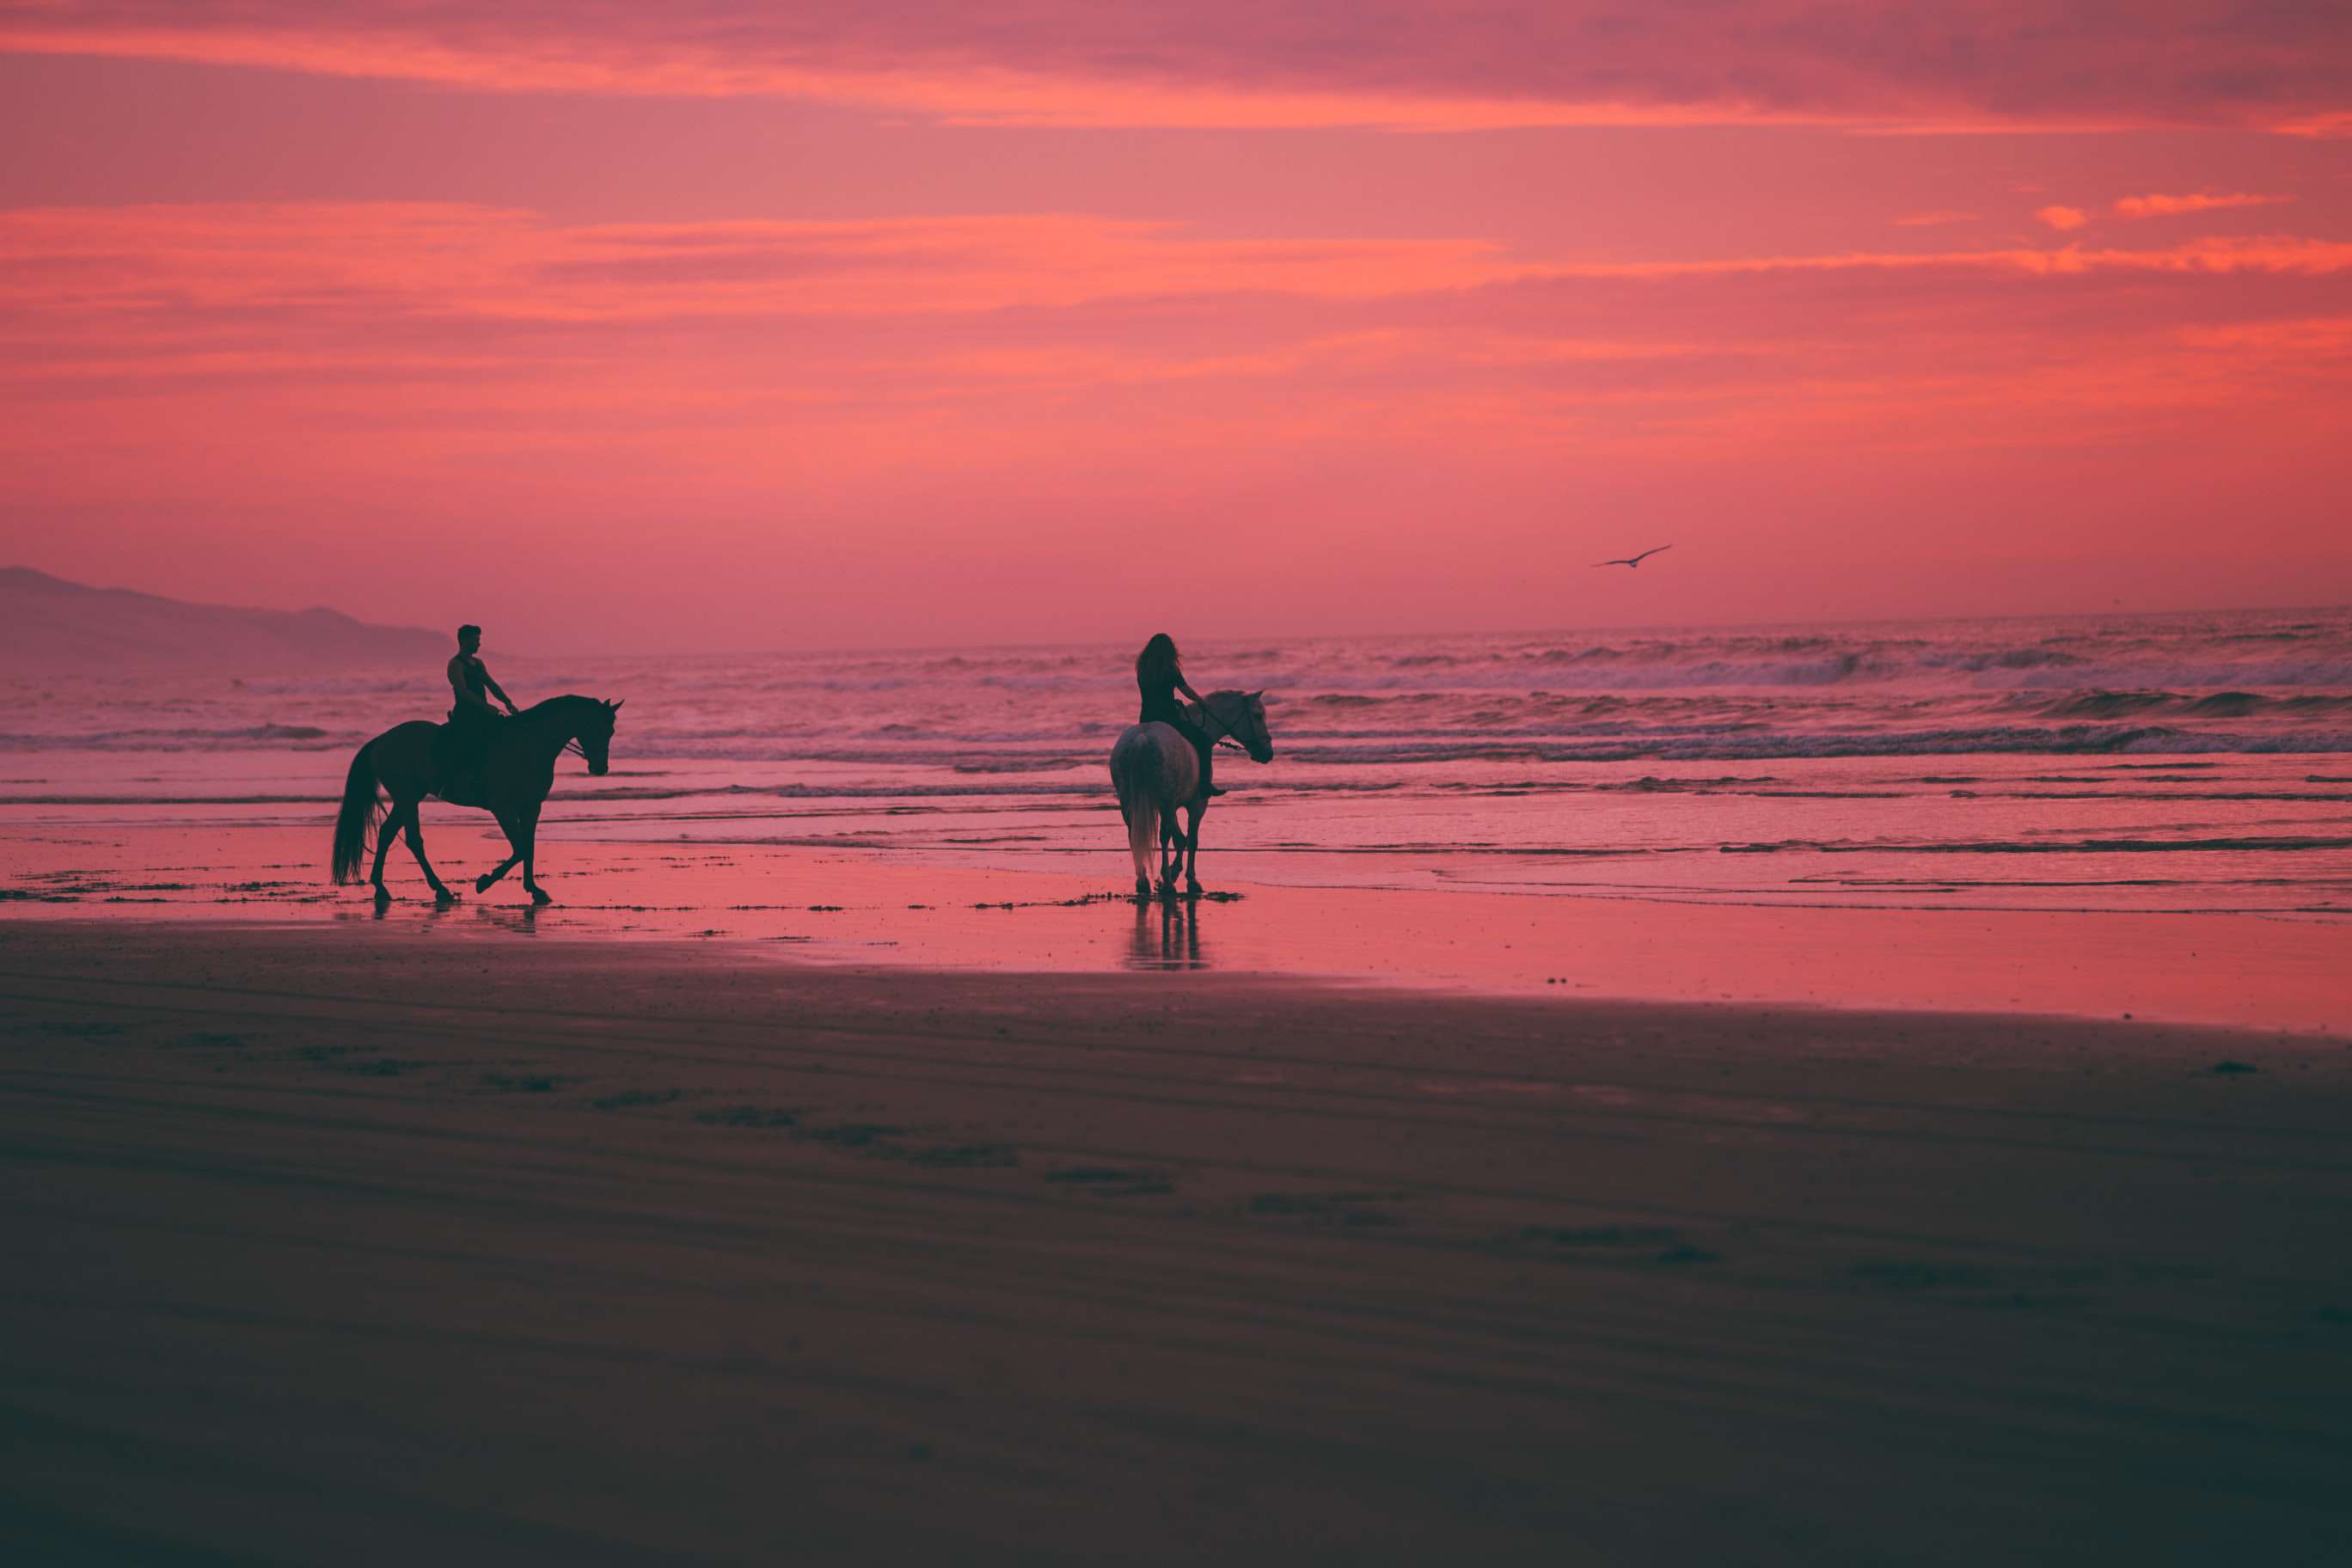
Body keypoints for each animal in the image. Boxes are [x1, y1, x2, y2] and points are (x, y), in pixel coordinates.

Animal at [331, 695, 622, 906]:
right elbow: (519, 848)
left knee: (387, 833)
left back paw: (381, 888)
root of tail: (381, 740)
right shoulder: (503, 808)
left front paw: (534, 890)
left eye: (611, 731)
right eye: (596, 727)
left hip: (409, 796)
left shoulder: (532, 807)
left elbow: (528, 847)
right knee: (413, 839)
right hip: (407, 796)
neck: (529, 745)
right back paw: (441, 889)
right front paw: (484, 882)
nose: (600, 768)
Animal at [1108, 689, 1272, 899]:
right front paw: (1189, 880)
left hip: (1130, 801)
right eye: (1258, 715)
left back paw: (1143, 881)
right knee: (1164, 836)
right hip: (1165, 801)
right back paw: (1168, 885)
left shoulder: (1171, 807)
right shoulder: (1196, 805)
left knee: (1134, 835)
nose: (1268, 753)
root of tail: (1143, 738)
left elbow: (1180, 839)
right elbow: (1191, 840)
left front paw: (1173, 871)